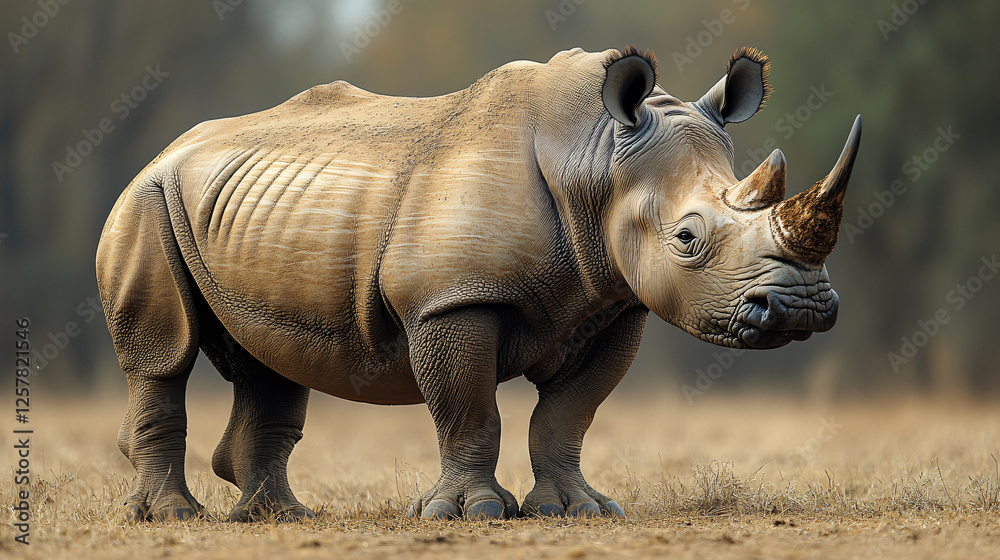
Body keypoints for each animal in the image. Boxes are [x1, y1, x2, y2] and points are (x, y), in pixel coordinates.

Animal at [97, 45, 860, 521]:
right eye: (687, 240)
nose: (800, 308)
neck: (596, 160)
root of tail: (166, 151)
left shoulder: (615, 302)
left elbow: (568, 414)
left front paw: (581, 510)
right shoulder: (452, 300)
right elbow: (469, 409)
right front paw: (474, 513)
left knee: (271, 360)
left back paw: (279, 517)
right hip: (145, 201)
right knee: (163, 356)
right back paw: (173, 517)